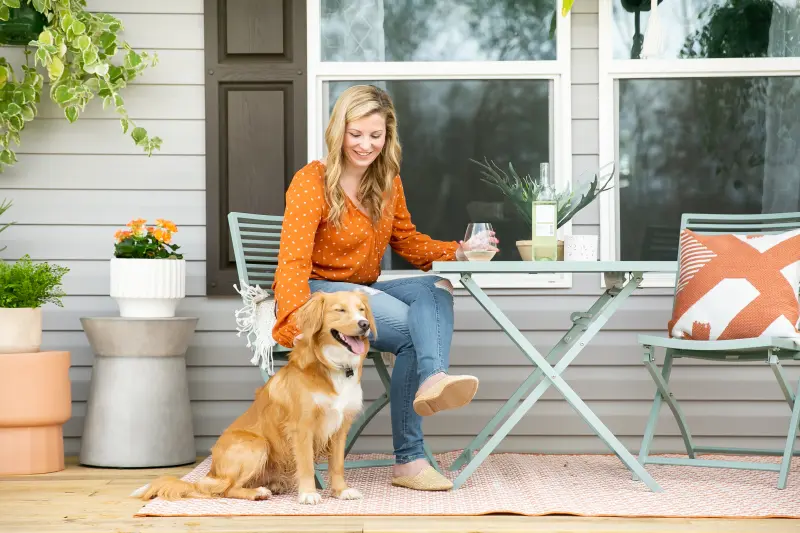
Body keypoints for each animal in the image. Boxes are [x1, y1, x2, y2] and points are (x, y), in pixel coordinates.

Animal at [133, 290, 376, 502]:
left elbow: (338, 464)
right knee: (227, 488)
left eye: (362, 310)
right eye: (340, 310)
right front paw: (308, 494)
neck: (335, 366)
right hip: (258, 445)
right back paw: (257, 493)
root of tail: (213, 471)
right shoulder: (302, 427)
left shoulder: (340, 427)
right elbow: (306, 464)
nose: (364, 324)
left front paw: (341, 491)